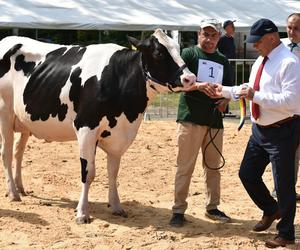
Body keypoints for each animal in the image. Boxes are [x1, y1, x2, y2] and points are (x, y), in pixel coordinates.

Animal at [0, 28, 197, 223]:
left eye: (178, 49)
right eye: (158, 53)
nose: (190, 78)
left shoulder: (118, 135)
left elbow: (113, 172)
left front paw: (116, 206)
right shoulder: (86, 128)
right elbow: (88, 173)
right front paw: (82, 213)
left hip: (24, 121)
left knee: (18, 152)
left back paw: (20, 188)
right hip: (5, 115)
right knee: (6, 153)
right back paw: (13, 193)